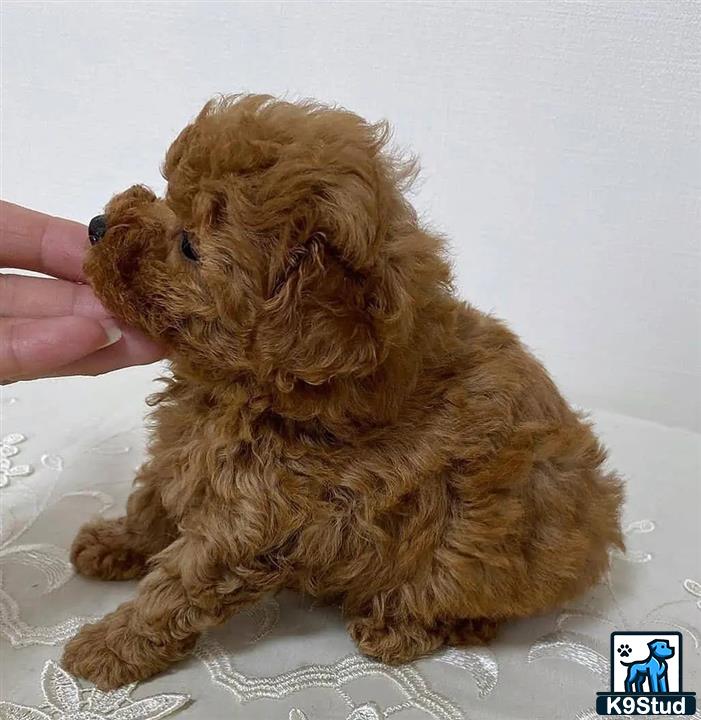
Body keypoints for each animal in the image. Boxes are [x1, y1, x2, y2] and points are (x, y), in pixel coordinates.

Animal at [63, 93, 624, 688]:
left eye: (190, 246)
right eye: (168, 197)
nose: (97, 225)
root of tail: (599, 532)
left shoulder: (251, 517)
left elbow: (176, 587)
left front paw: (109, 647)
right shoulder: (189, 453)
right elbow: (150, 500)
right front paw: (115, 543)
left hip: (474, 550)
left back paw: (398, 626)